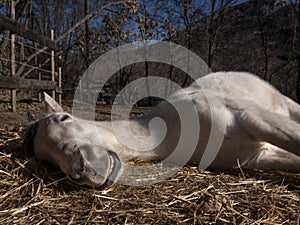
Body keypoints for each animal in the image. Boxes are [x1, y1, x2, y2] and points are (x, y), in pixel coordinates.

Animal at [22, 71, 300, 186]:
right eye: (47, 160)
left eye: (64, 118)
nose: (80, 171)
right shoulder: (257, 156)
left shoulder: (251, 117)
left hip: (285, 107)